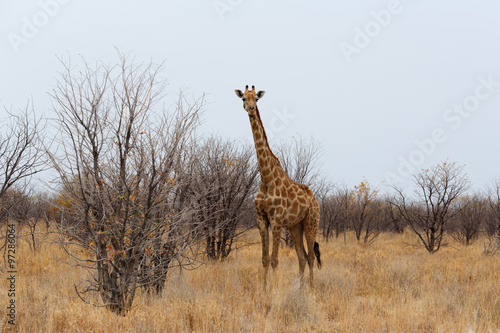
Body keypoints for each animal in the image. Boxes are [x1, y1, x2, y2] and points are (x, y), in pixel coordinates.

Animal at [233, 85, 320, 288]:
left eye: (256, 99)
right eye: (243, 98)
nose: (250, 109)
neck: (266, 178)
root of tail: (315, 200)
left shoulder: (277, 219)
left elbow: (274, 260)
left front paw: (273, 290)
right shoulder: (261, 219)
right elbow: (265, 259)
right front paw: (264, 289)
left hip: (311, 221)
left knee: (311, 257)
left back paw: (312, 288)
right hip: (295, 226)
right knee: (302, 257)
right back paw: (300, 289)